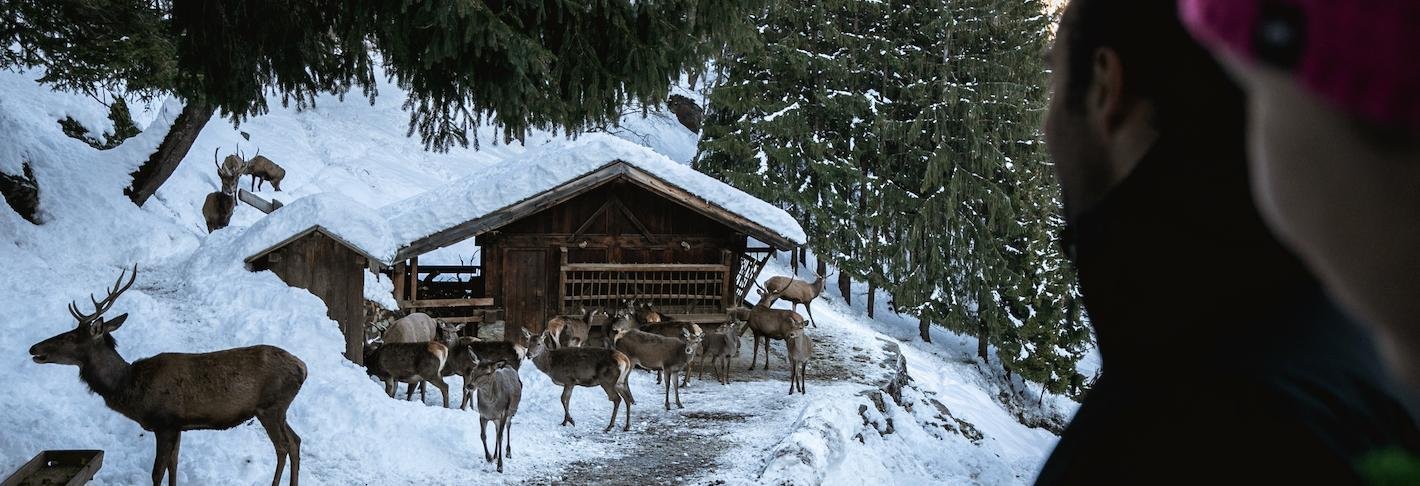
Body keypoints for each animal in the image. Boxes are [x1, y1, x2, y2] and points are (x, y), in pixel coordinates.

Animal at [28, 265, 305, 485]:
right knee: (296, 441)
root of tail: (303, 368)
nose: (34, 348)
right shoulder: (178, 426)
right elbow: (174, 465)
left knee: (283, 446)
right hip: (279, 410)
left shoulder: (165, 422)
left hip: (270, 407)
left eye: (71, 336)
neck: (131, 390)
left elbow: (157, 472)